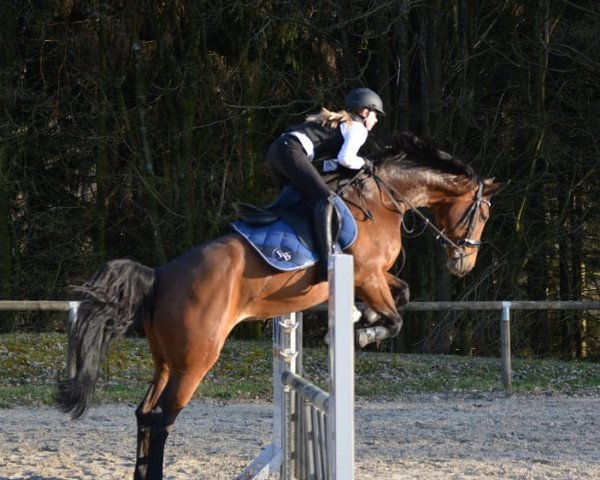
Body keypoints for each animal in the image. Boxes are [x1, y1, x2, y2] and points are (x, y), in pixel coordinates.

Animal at [57, 131, 506, 480]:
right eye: (482, 213)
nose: (464, 263)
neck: (381, 199)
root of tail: (160, 275)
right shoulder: (367, 274)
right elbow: (394, 318)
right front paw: (362, 333)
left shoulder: (375, 277)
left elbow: (404, 294)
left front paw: (361, 317)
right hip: (196, 360)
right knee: (160, 418)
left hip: (167, 361)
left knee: (144, 413)